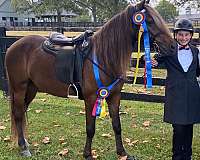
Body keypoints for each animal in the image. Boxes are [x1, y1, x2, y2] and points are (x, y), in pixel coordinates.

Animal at [5, 0, 175, 159]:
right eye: (150, 20)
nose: (173, 47)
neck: (103, 56)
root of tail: (13, 46)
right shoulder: (91, 98)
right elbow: (90, 128)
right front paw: (87, 154)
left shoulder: (114, 96)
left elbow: (117, 125)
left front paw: (122, 152)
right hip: (19, 89)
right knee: (18, 114)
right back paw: (23, 147)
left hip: (31, 88)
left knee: (21, 112)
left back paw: (24, 143)